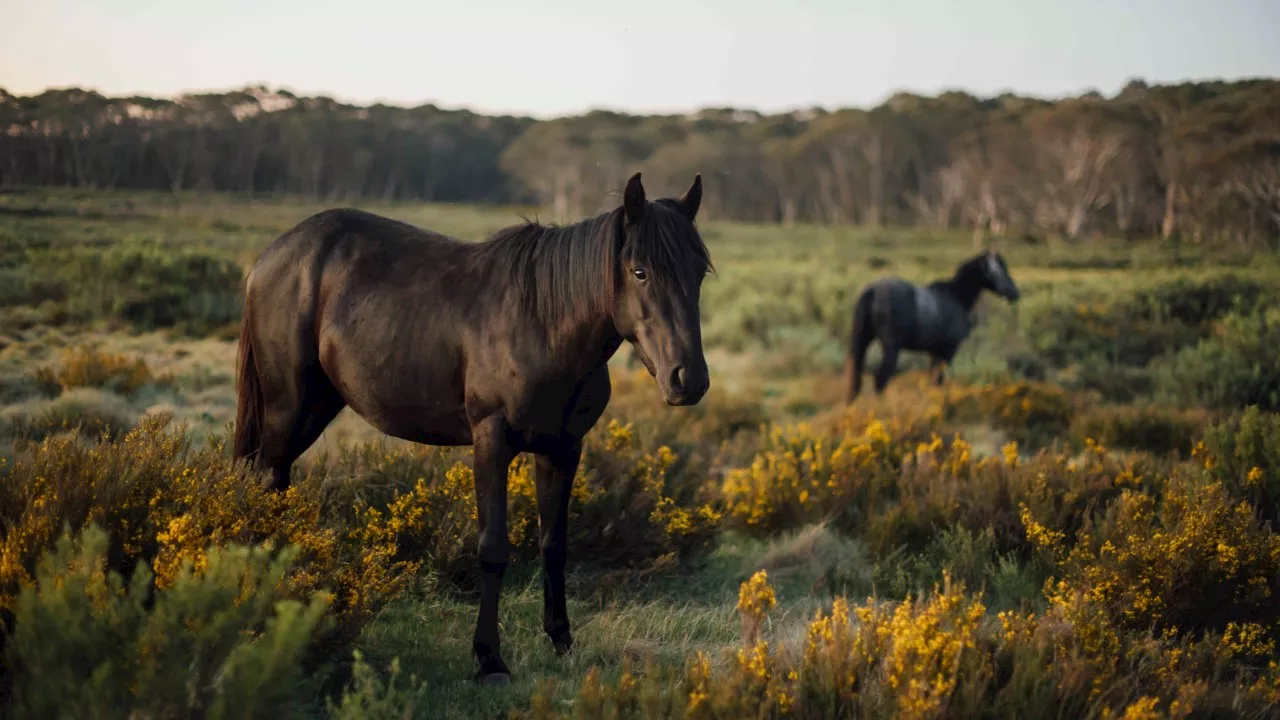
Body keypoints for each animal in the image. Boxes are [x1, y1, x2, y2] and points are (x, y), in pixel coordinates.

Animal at [230, 170, 711, 681]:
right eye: (640, 271)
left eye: (699, 271)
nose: (688, 379)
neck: (542, 322)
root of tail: (271, 257)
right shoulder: (491, 442)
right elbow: (493, 548)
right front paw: (489, 659)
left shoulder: (562, 448)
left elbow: (554, 545)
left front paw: (561, 641)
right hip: (287, 406)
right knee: (266, 480)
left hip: (317, 406)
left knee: (275, 482)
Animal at [839, 251, 1018, 397]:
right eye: (1001, 270)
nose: (1015, 294)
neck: (957, 297)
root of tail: (873, 291)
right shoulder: (948, 351)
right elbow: (939, 380)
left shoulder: (934, 352)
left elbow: (932, 380)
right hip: (891, 348)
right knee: (880, 380)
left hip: (862, 342)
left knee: (854, 382)